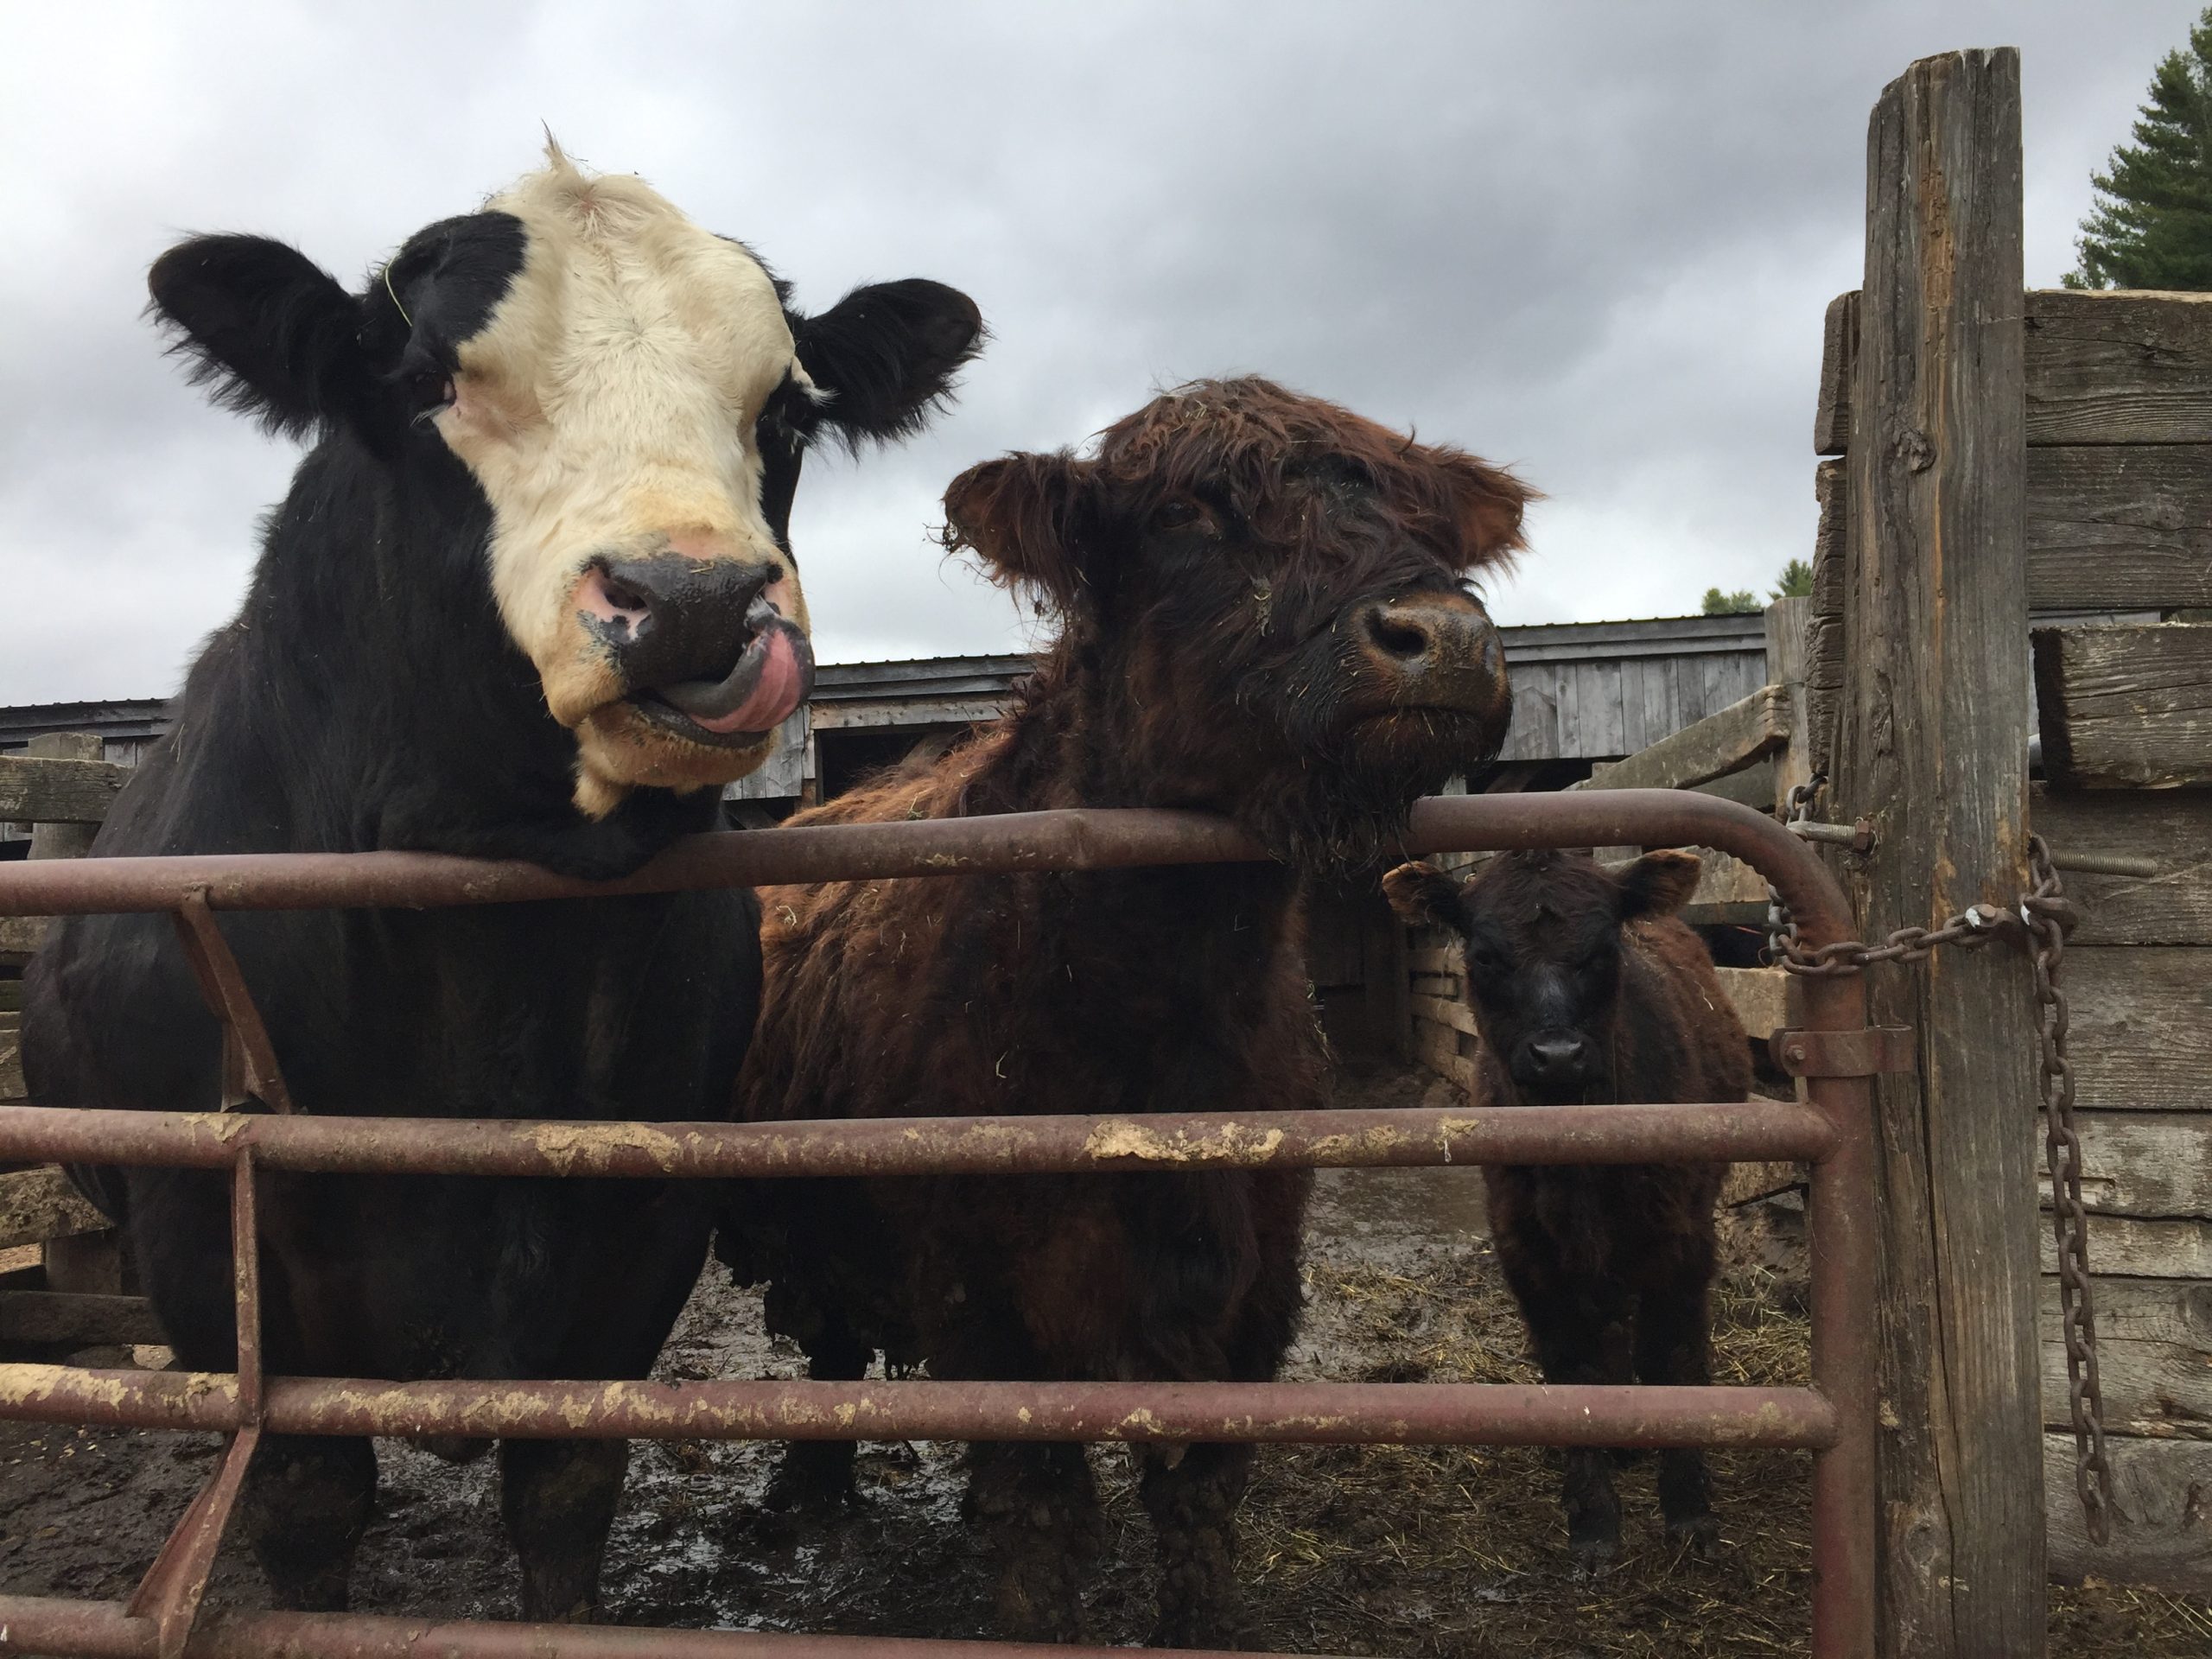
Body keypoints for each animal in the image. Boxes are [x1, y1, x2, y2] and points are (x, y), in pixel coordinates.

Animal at [21, 146, 982, 1621]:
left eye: (787, 409)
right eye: (433, 380)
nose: (693, 598)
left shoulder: (645, 1225)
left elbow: (567, 1486)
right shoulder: (207, 1244)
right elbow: (307, 1497)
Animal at [722, 377, 1529, 1646]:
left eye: (1427, 517)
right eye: (1185, 511)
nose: (1440, 637)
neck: (1163, 1014)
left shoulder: (1253, 1275)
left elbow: (1199, 1500)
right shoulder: (983, 1299)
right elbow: (1040, 1511)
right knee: (829, 1344)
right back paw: (807, 1497)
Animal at [1380, 847, 1749, 1571]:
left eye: (1604, 949)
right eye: (1485, 954)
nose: (1557, 1056)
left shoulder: (1681, 1240)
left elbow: (1676, 1356)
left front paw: (1688, 1509)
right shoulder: (1528, 1253)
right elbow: (1570, 1366)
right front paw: (1594, 1520)